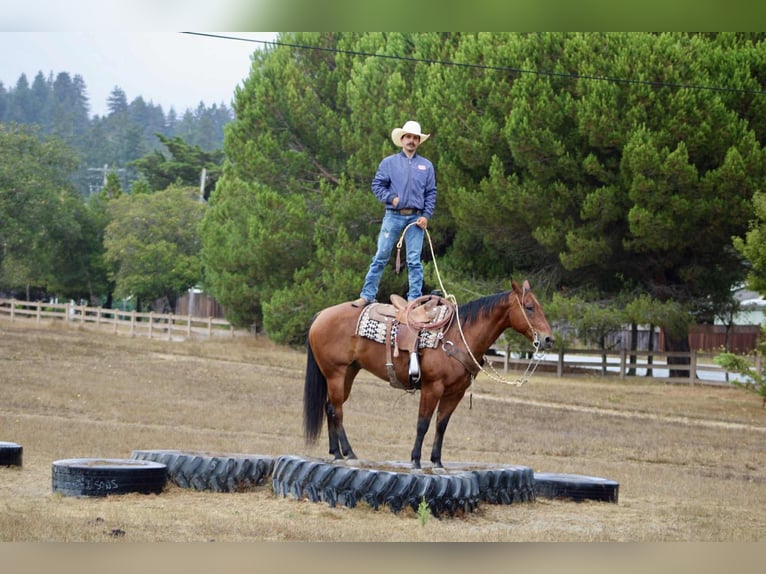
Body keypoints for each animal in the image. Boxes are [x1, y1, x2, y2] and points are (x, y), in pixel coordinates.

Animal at [303, 280, 554, 470]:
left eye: (539, 306)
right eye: (529, 307)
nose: (548, 339)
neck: (459, 335)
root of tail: (321, 314)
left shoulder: (455, 393)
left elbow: (441, 425)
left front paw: (437, 462)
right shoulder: (433, 387)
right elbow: (422, 423)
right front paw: (415, 460)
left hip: (348, 373)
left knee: (330, 407)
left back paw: (336, 452)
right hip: (335, 373)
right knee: (337, 410)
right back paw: (349, 453)